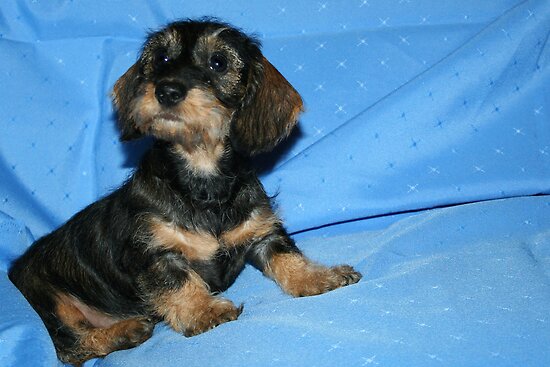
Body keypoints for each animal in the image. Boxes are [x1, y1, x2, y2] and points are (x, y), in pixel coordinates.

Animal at [8, 18, 364, 366]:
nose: (166, 91)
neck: (202, 181)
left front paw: (320, 277)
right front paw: (205, 310)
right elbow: (179, 281)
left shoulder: (262, 231)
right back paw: (126, 331)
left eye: (218, 62)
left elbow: (288, 257)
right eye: (161, 58)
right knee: (69, 346)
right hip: (48, 299)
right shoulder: (153, 253)